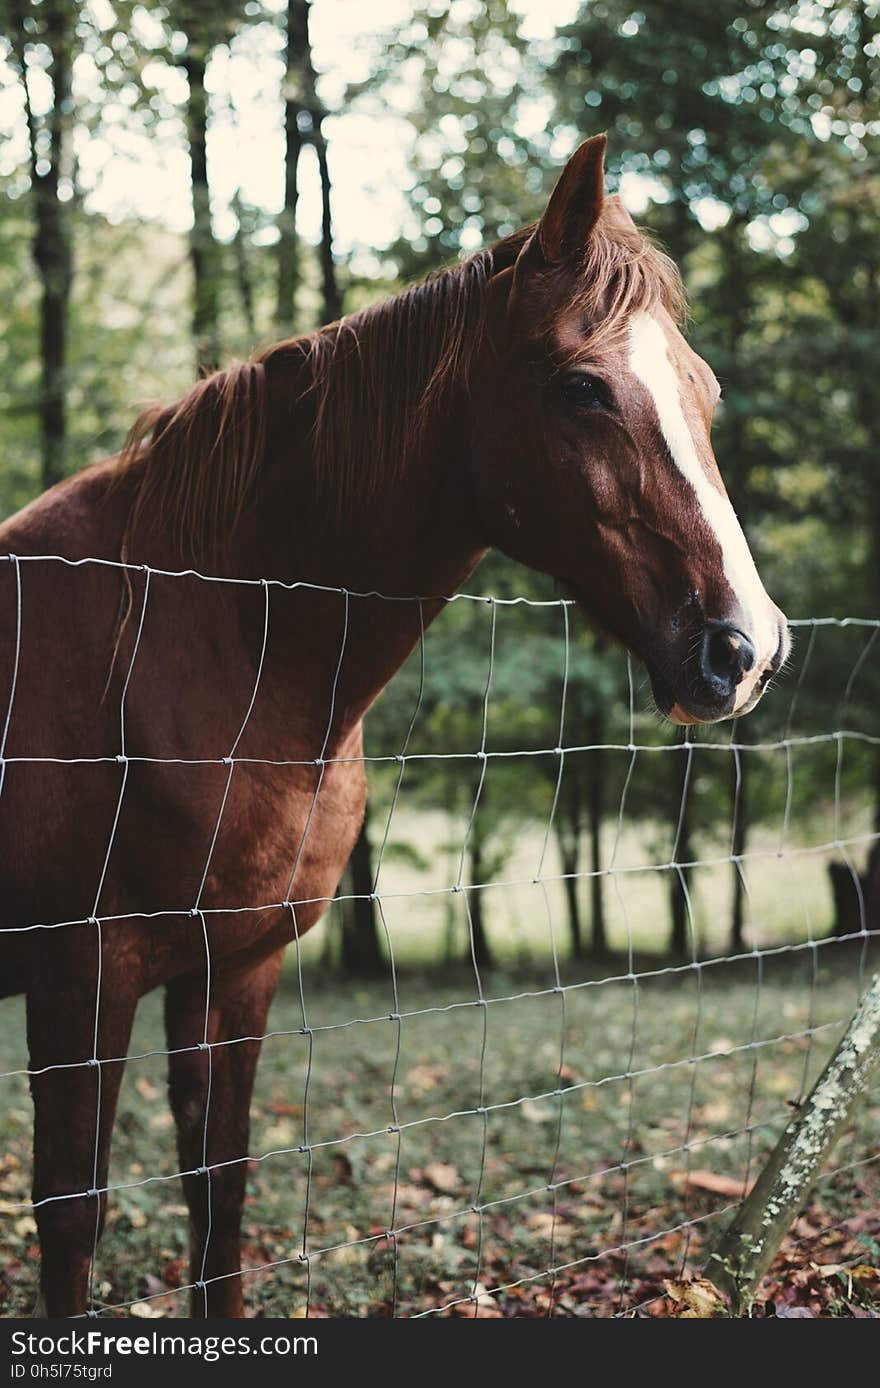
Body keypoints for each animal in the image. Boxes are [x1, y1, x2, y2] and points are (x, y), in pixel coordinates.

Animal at [0, 135, 782, 1315]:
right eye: (582, 387)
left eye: (704, 388)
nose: (745, 645)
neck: (198, 641)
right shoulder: (77, 985)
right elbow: (71, 1220)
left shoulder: (233, 971)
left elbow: (220, 1194)